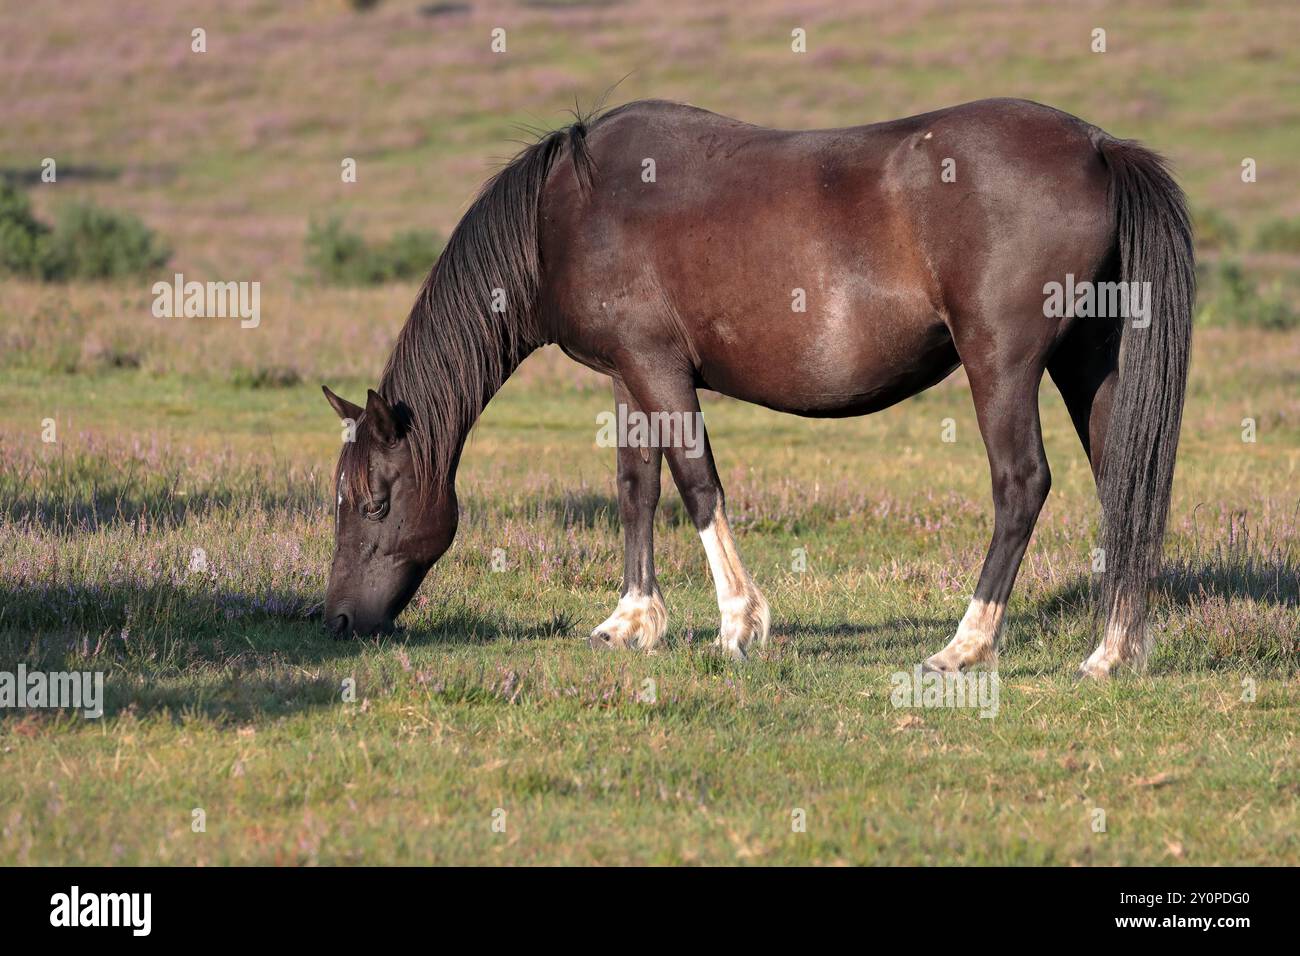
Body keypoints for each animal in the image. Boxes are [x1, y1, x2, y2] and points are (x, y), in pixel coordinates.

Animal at [320, 97, 1193, 679]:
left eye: (374, 502)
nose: (335, 620)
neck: (565, 211)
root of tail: (1097, 146)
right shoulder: (627, 377)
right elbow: (636, 490)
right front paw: (632, 620)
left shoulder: (659, 370)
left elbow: (697, 484)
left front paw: (738, 622)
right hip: (1087, 364)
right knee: (1123, 482)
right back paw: (1113, 651)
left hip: (1001, 366)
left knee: (1021, 486)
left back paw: (966, 644)